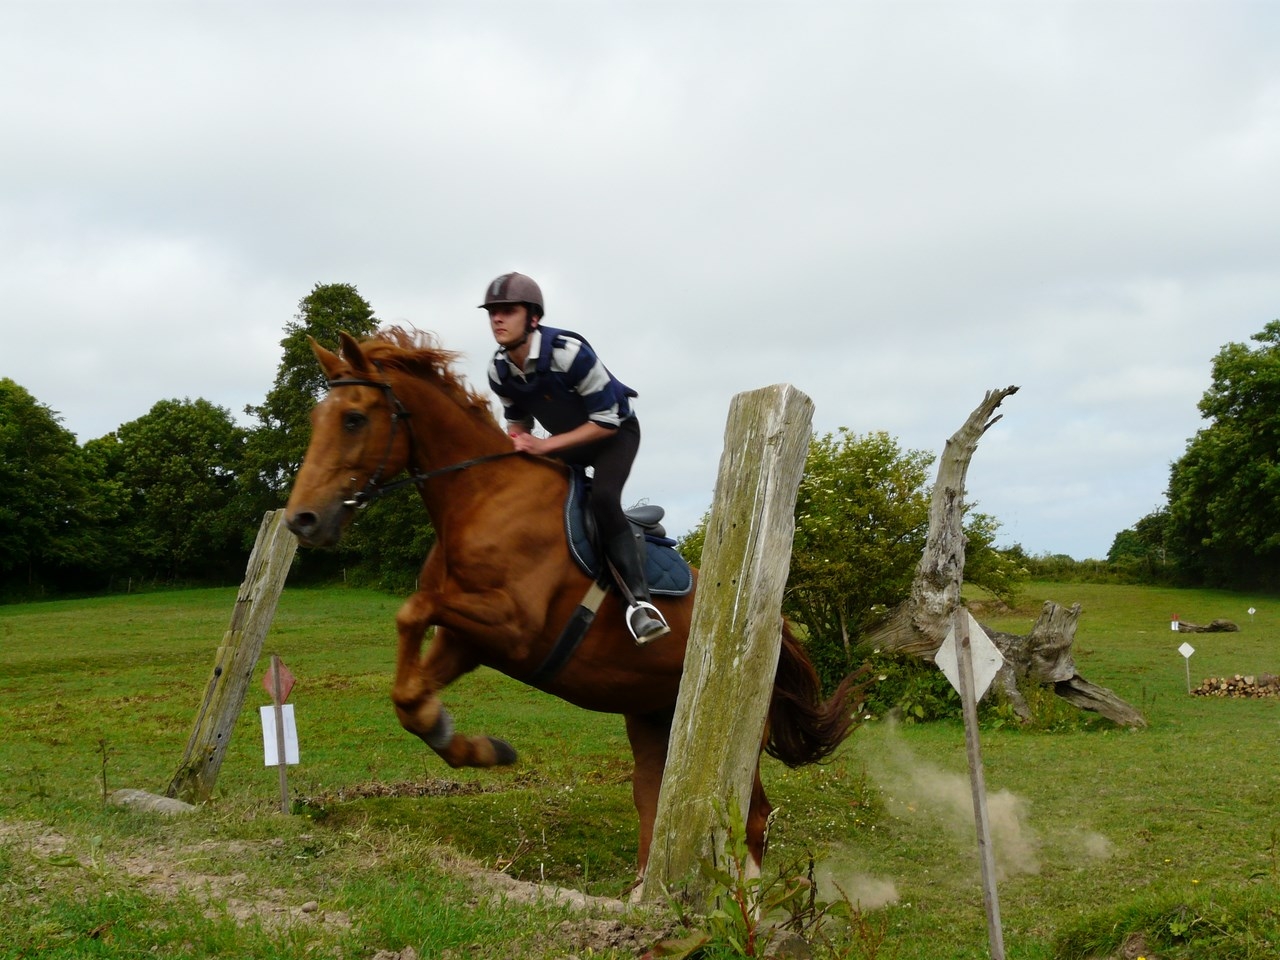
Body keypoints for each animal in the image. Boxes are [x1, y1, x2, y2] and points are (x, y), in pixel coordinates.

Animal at [282, 327, 860, 885]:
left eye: (354, 418)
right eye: (317, 419)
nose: (302, 520)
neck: (481, 496)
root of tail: (774, 626)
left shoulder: (513, 628)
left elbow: (413, 611)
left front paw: (466, 739)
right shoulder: (468, 641)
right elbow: (408, 684)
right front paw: (471, 744)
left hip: (737, 732)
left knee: (752, 816)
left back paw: (744, 905)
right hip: (652, 714)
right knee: (652, 795)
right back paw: (643, 896)